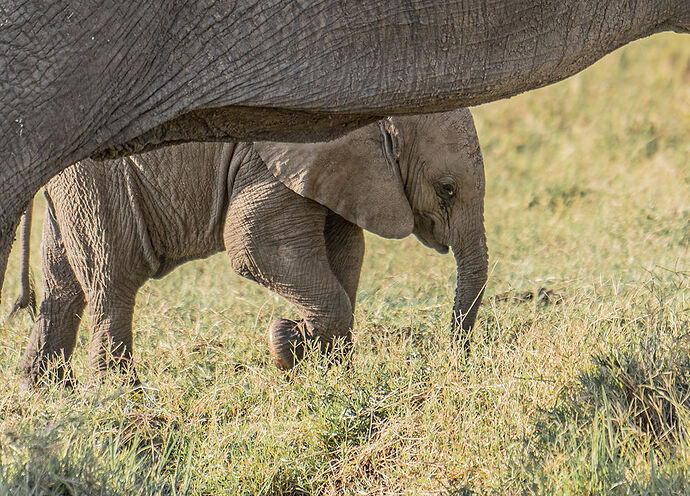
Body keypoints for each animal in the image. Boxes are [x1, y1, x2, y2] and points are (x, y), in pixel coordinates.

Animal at [18, 109, 486, 388]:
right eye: (446, 189)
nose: (456, 361)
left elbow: (348, 249)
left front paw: (324, 366)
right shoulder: (276, 162)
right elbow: (252, 245)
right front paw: (290, 348)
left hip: (75, 190)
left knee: (64, 288)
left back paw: (46, 392)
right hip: (102, 186)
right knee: (111, 284)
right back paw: (116, 397)